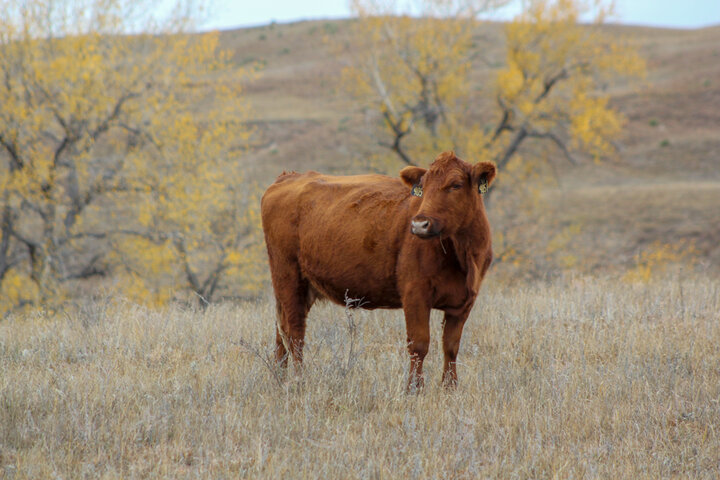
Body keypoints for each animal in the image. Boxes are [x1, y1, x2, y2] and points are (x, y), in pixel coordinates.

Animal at [262, 151, 498, 390]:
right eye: (423, 187)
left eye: (456, 185)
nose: (420, 224)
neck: (462, 255)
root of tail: (289, 177)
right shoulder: (415, 295)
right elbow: (419, 344)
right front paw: (414, 389)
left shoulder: (464, 302)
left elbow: (450, 346)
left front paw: (450, 388)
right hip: (288, 278)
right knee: (294, 333)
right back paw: (300, 380)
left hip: (300, 288)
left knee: (281, 332)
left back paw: (279, 378)